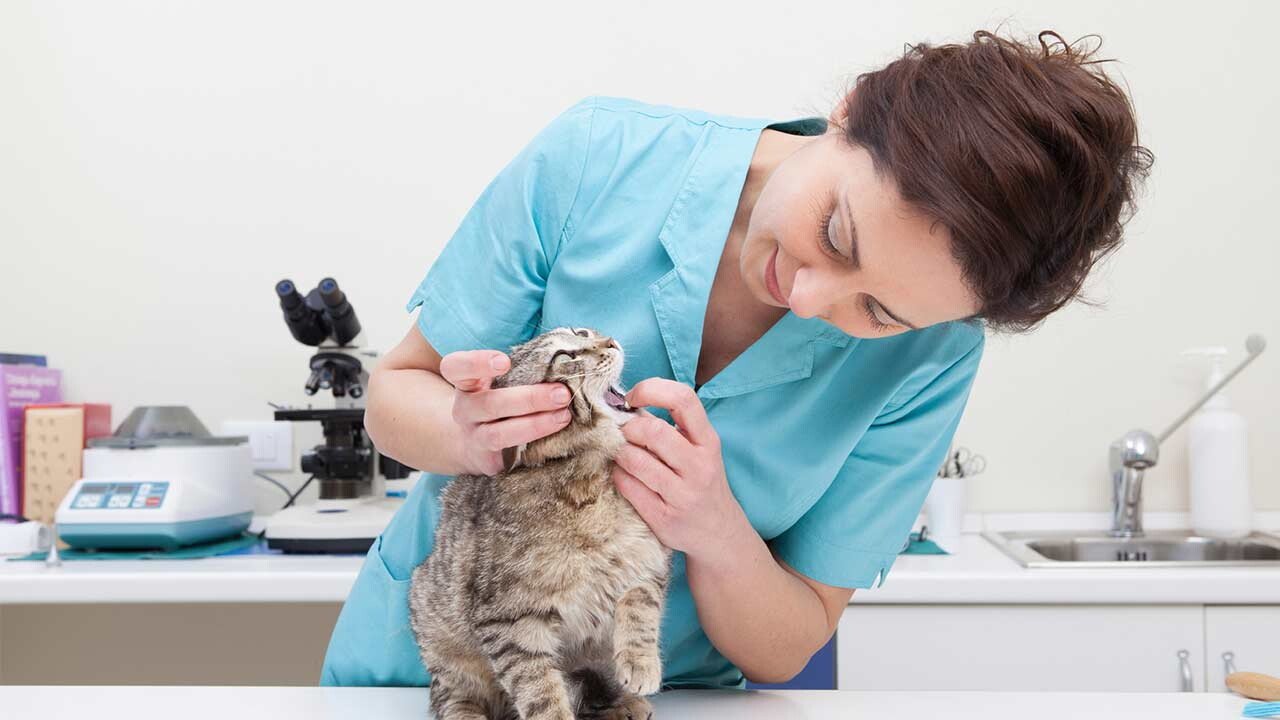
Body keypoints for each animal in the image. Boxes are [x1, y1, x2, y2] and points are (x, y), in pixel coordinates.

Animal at [409, 326, 672, 720]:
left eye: (583, 331)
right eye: (565, 356)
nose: (610, 341)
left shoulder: (647, 556)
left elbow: (640, 600)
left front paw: (640, 661)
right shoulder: (509, 620)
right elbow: (538, 688)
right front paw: (554, 712)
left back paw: (623, 704)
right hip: (443, 646)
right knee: (452, 699)